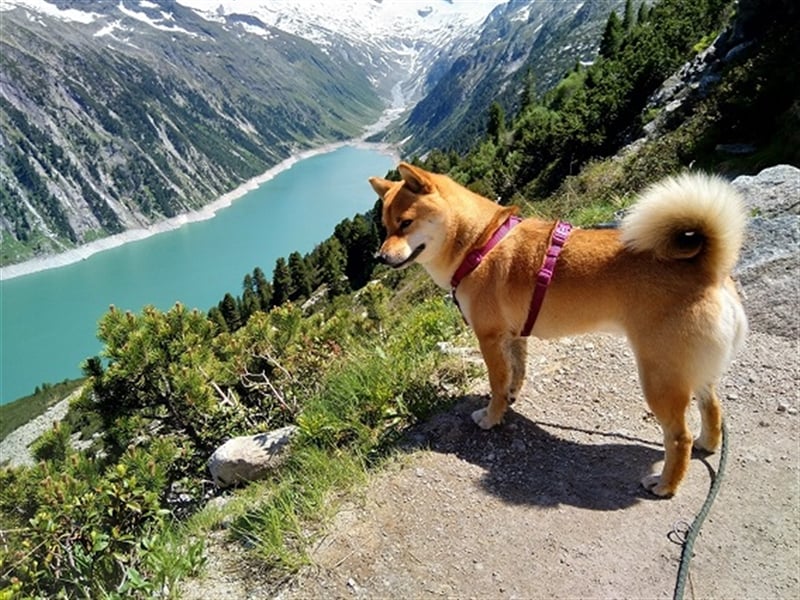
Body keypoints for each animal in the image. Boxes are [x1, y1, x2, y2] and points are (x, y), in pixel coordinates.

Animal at [372, 162, 748, 494]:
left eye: (405, 223)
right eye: (385, 227)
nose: (380, 258)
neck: (479, 243)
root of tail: (707, 270)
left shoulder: (489, 338)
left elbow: (496, 383)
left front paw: (492, 417)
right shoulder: (514, 336)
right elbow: (515, 373)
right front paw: (510, 399)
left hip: (659, 376)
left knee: (678, 436)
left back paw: (665, 484)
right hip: (690, 371)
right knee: (712, 406)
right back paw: (707, 442)